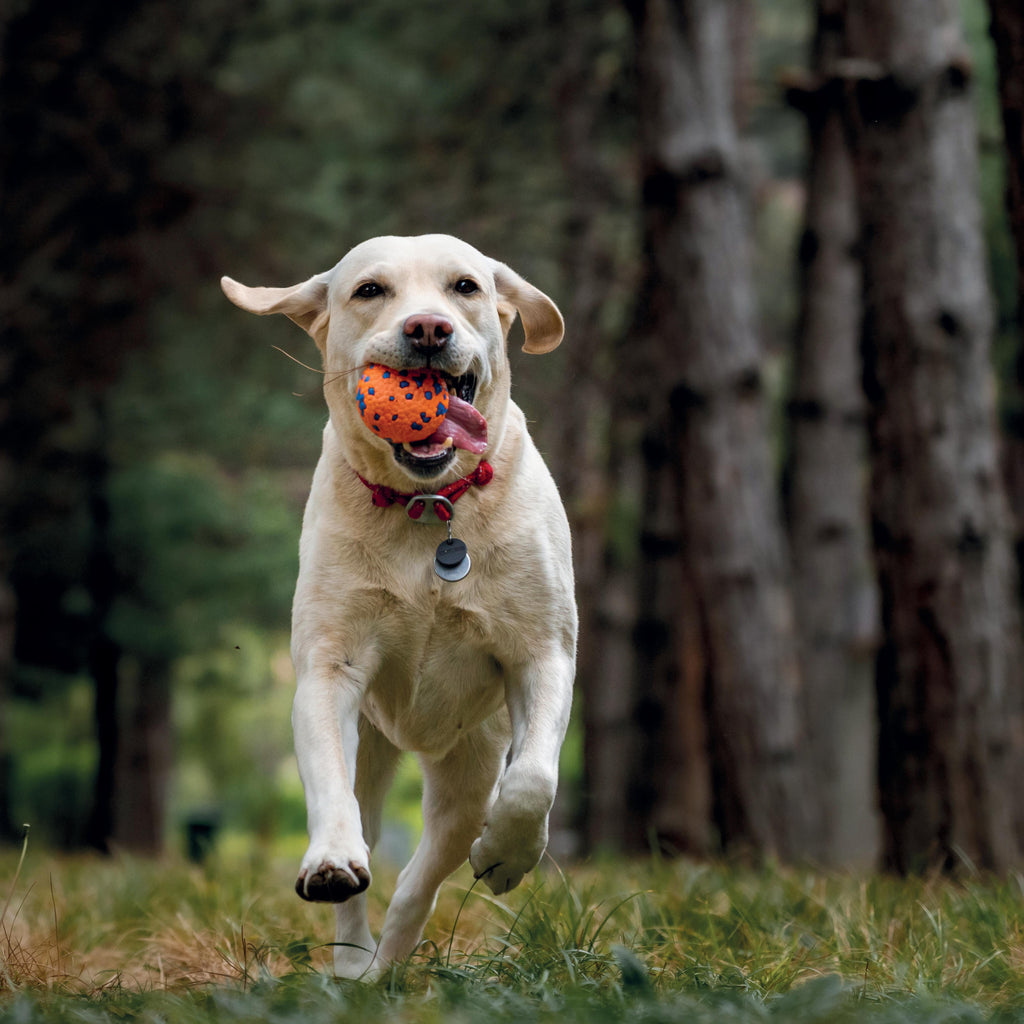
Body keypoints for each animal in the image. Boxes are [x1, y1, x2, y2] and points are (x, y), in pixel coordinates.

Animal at [222, 235, 577, 978]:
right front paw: (330, 861)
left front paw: (510, 857)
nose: (428, 328)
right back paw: (359, 961)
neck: (429, 504)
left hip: (467, 767)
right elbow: (331, 788)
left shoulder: (543, 654)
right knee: (368, 833)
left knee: (428, 868)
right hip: (376, 746)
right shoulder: (329, 669)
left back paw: (401, 948)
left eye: (466, 286)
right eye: (369, 291)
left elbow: (534, 778)